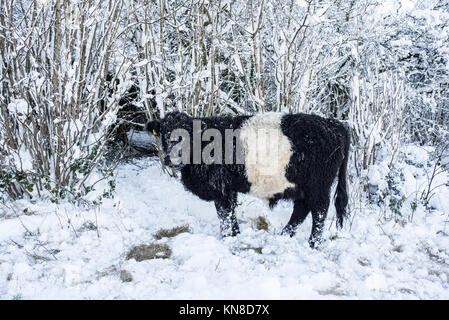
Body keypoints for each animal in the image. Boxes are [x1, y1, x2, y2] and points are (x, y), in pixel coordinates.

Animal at [147, 111, 350, 249]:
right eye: (164, 134)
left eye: (188, 135)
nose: (170, 159)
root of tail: (332, 124)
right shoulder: (229, 189)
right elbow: (230, 214)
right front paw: (235, 235)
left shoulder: (220, 188)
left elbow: (224, 215)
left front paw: (227, 238)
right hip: (302, 187)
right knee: (301, 210)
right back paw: (284, 236)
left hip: (318, 186)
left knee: (319, 212)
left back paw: (312, 244)